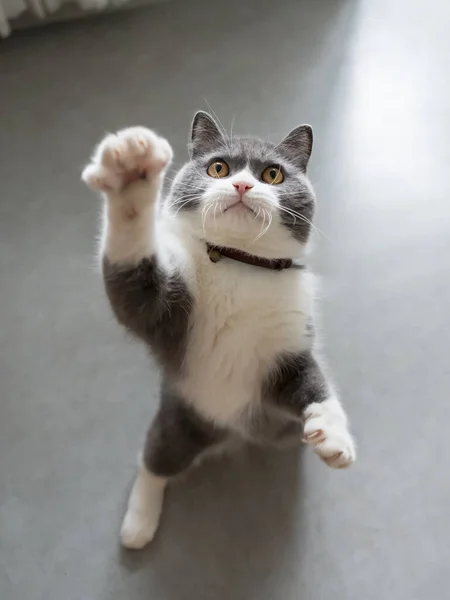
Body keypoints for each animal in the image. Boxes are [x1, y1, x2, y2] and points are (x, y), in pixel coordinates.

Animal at [81, 111, 356, 548]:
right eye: (218, 168)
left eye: (273, 174)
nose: (243, 185)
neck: (238, 263)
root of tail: (229, 435)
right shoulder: (166, 311)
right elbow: (134, 286)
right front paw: (131, 174)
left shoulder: (290, 343)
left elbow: (312, 381)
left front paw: (333, 435)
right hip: (180, 420)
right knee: (154, 459)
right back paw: (137, 525)